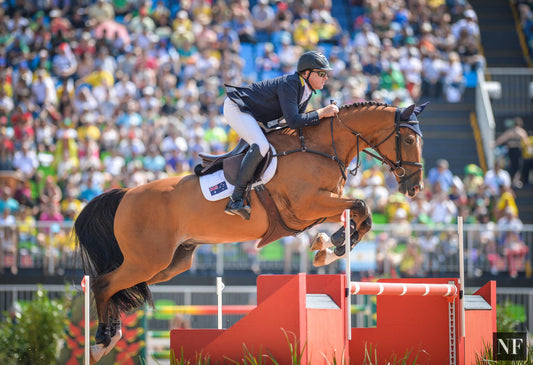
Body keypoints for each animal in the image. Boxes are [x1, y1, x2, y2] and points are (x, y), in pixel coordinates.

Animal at [75, 100, 424, 362]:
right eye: (408, 140)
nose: (415, 187)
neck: (322, 147)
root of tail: (126, 194)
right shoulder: (307, 205)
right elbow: (362, 205)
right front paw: (331, 246)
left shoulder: (320, 206)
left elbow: (360, 215)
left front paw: (330, 245)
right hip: (148, 260)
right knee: (104, 284)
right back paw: (102, 339)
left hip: (171, 263)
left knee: (116, 286)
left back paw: (109, 337)